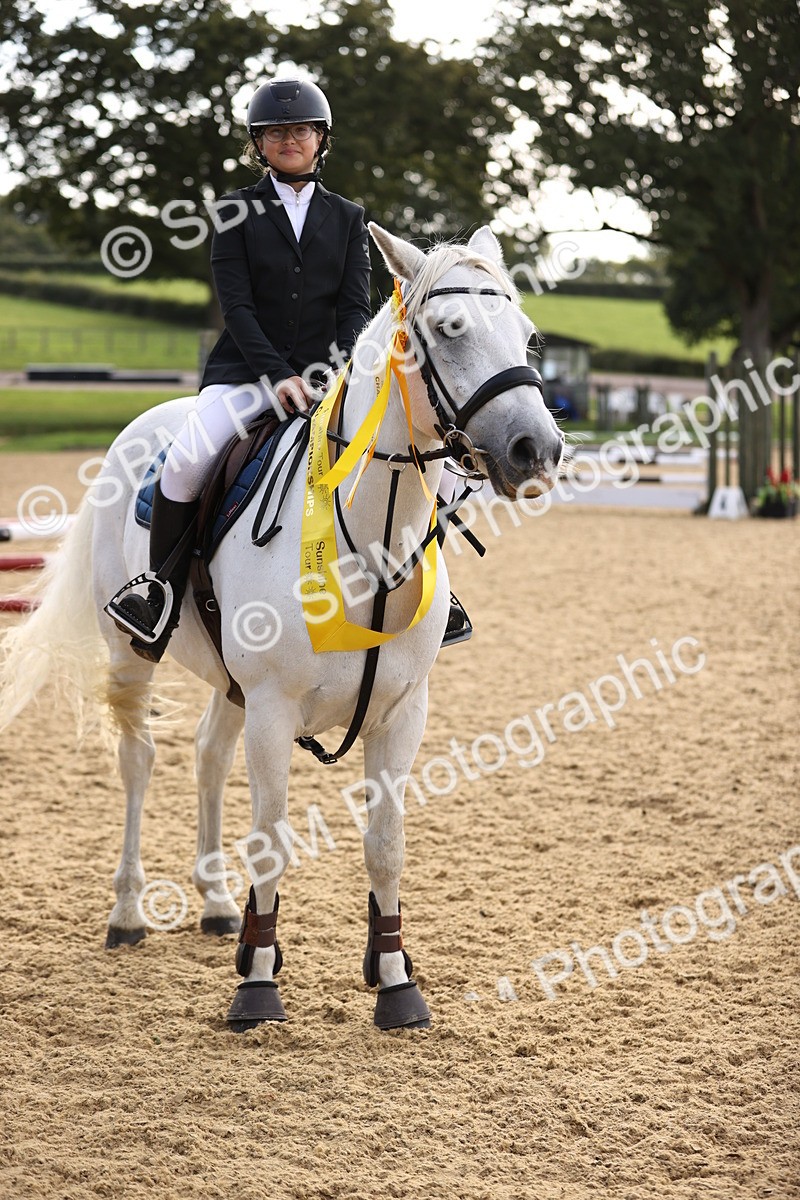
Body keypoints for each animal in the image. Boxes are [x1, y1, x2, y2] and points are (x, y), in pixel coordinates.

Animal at [0, 223, 564, 1031]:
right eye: (451, 330)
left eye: (528, 335)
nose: (536, 451)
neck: (371, 541)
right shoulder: (272, 708)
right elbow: (269, 842)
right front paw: (259, 985)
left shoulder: (402, 713)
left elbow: (386, 846)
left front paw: (395, 982)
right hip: (133, 655)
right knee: (139, 762)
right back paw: (129, 914)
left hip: (230, 683)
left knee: (206, 755)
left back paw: (214, 905)